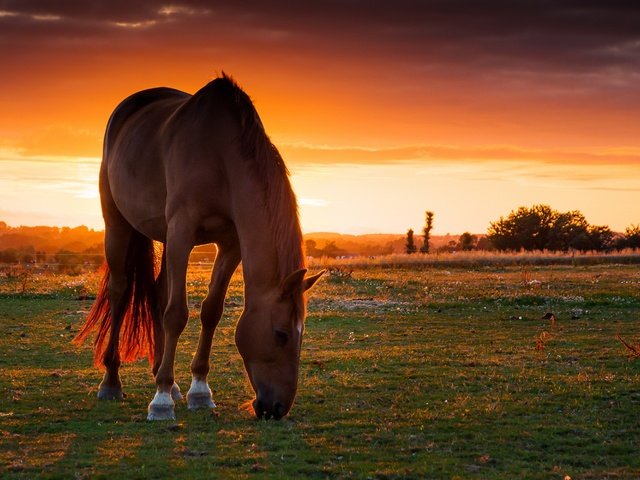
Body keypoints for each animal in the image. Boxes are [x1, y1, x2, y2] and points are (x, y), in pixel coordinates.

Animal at [74, 72, 324, 420]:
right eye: (281, 335)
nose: (277, 408)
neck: (220, 157)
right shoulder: (183, 231)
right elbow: (177, 313)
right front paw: (161, 400)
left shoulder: (230, 244)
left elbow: (211, 311)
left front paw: (199, 390)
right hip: (119, 225)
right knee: (120, 293)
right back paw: (112, 382)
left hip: (164, 237)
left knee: (158, 293)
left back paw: (167, 379)